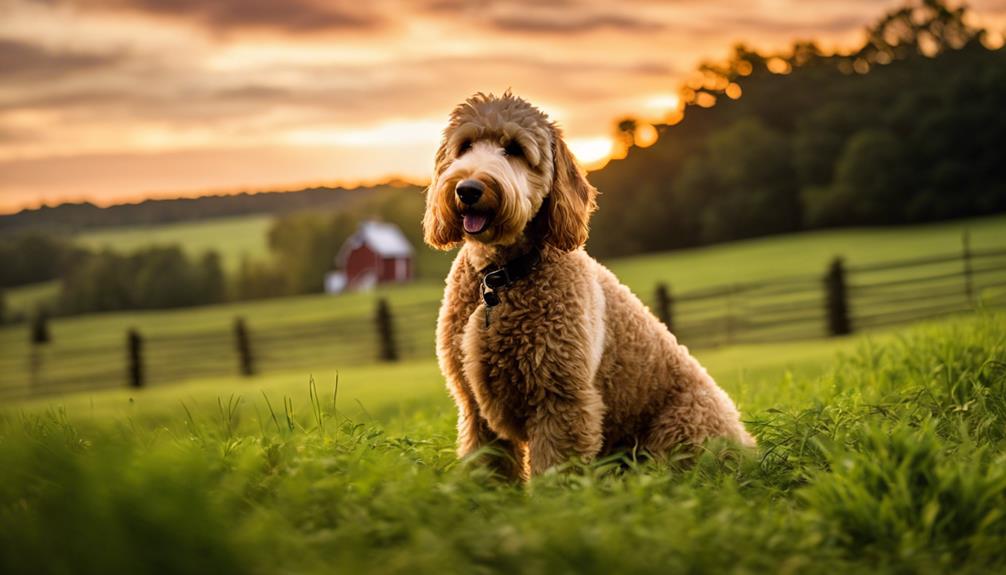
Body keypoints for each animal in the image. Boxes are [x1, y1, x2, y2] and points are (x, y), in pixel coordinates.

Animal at [420, 92, 752, 480]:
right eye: (465, 146)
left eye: (514, 149)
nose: (468, 189)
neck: (499, 277)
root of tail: (748, 444)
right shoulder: (475, 408)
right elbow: (489, 468)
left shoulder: (560, 400)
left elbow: (556, 473)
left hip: (683, 427)